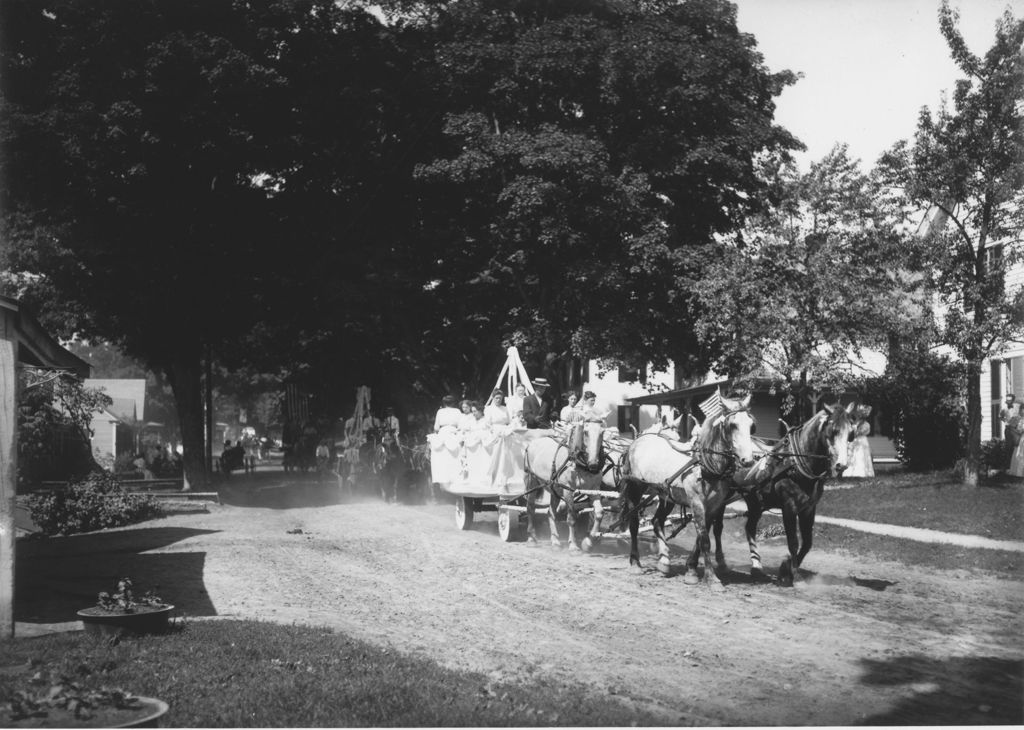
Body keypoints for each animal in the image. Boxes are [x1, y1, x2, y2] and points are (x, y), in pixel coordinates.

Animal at [528, 417, 606, 548]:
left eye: (602, 432)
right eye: (585, 432)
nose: (593, 463)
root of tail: (533, 442)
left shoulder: (594, 489)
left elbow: (600, 512)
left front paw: (590, 540)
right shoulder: (568, 490)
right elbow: (571, 518)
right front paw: (573, 544)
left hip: (554, 489)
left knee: (550, 512)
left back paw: (555, 540)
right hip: (532, 481)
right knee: (530, 508)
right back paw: (531, 537)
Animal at [610, 393, 757, 585]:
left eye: (751, 425)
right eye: (732, 425)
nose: (748, 461)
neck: (706, 465)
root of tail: (635, 443)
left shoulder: (715, 505)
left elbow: (703, 535)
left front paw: (691, 569)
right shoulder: (697, 502)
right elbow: (705, 540)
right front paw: (712, 578)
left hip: (666, 494)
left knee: (657, 521)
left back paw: (664, 561)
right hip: (636, 488)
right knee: (634, 523)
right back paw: (635, 562)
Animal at [724, 401, 860, 585]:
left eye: (851, 433)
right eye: (833, 431)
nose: (842, 465)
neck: (795, 462)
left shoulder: (808, 509)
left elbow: (807, 543)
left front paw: (786, 567)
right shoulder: (789, 507)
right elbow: (793, 542)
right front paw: (791, 574)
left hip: (755, 503)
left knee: (749, 528)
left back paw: (756, 567)